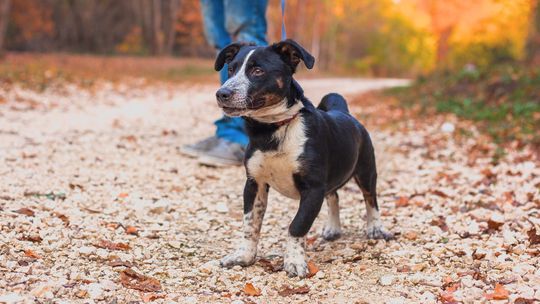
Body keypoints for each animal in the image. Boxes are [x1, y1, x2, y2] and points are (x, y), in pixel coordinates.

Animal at [213, 39, 390, 276]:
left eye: (258, 71)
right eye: (230, 70)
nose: (222, 93)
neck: (274, 130)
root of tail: (345, 112)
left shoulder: (313, 189)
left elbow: (297, 226)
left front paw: (294, 262)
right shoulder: (254, 184)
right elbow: (250, 225)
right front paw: (244, 256)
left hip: (366, 171)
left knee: (371, 199)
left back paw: (375, 228)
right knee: (334, 196)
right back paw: (333, 228)